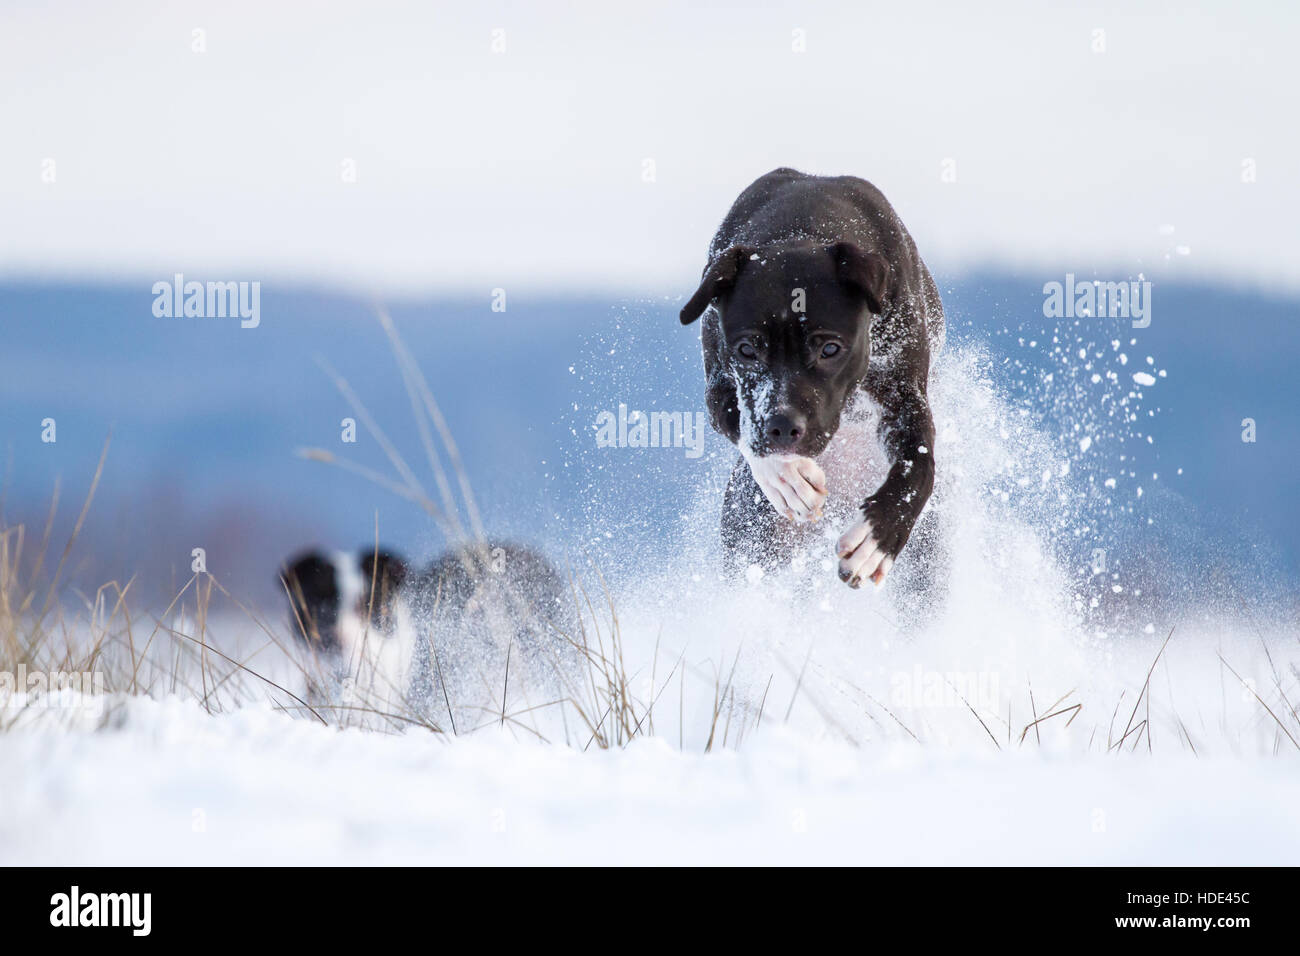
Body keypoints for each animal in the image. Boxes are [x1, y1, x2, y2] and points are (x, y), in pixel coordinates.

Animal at [681, 170, 946, 590]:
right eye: (746, 350)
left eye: (830, 349)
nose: (783, 428)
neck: (803, 225)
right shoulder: (719, 385)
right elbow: (739, 422)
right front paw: (786, 479)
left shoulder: (904, 395)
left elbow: (918, 463)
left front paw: (875, 539)